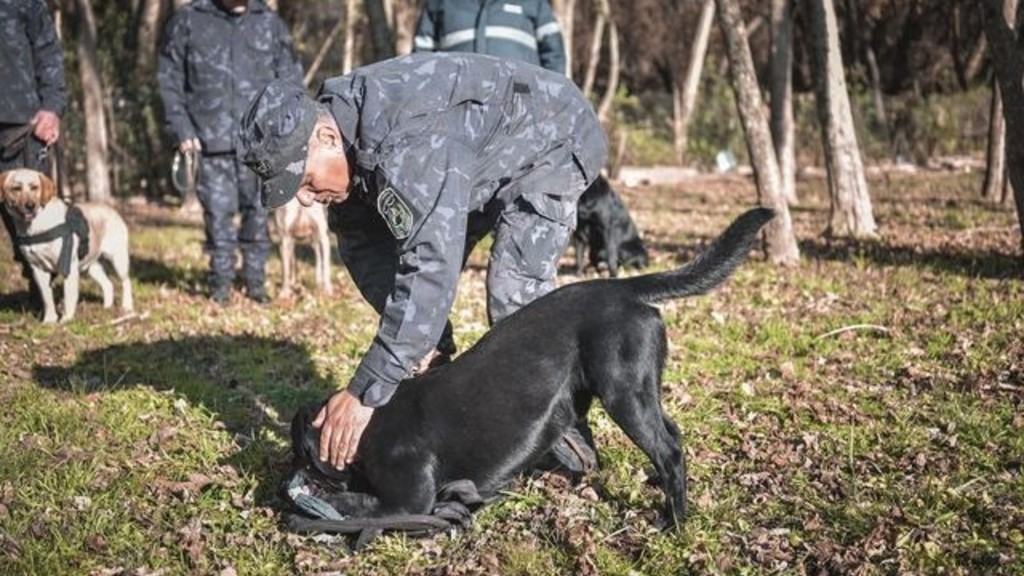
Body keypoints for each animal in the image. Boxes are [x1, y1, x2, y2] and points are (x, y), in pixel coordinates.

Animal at [284, 206, 770, 541]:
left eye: (302, 454)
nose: (287, 476)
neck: (369, 427)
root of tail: (624, 288)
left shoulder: (409, 497)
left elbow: (361, 502)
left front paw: (324, 505)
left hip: (624, 393)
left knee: (669, 450)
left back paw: (674, 522)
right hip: (637, 391)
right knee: (672, 435)